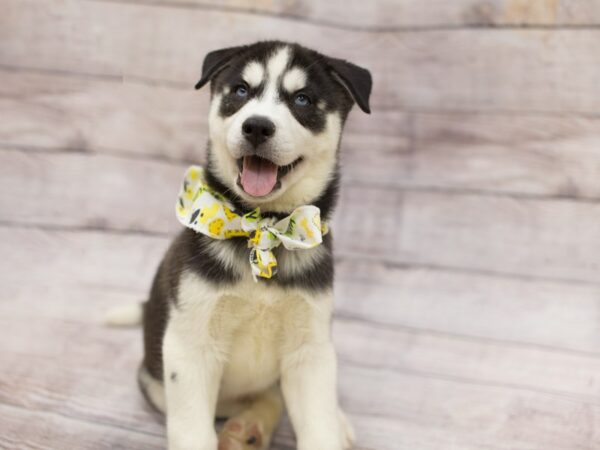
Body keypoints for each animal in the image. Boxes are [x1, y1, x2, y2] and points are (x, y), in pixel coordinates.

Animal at [114, 41, 370, 450]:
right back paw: (246, 427)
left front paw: (330, 424)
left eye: (302, 99)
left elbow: (319, 422)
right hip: (156, 378)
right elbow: (192, 430)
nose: (257, 126)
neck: (263, 228)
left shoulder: (309, 348)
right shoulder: (189, 346)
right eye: (240, 91)